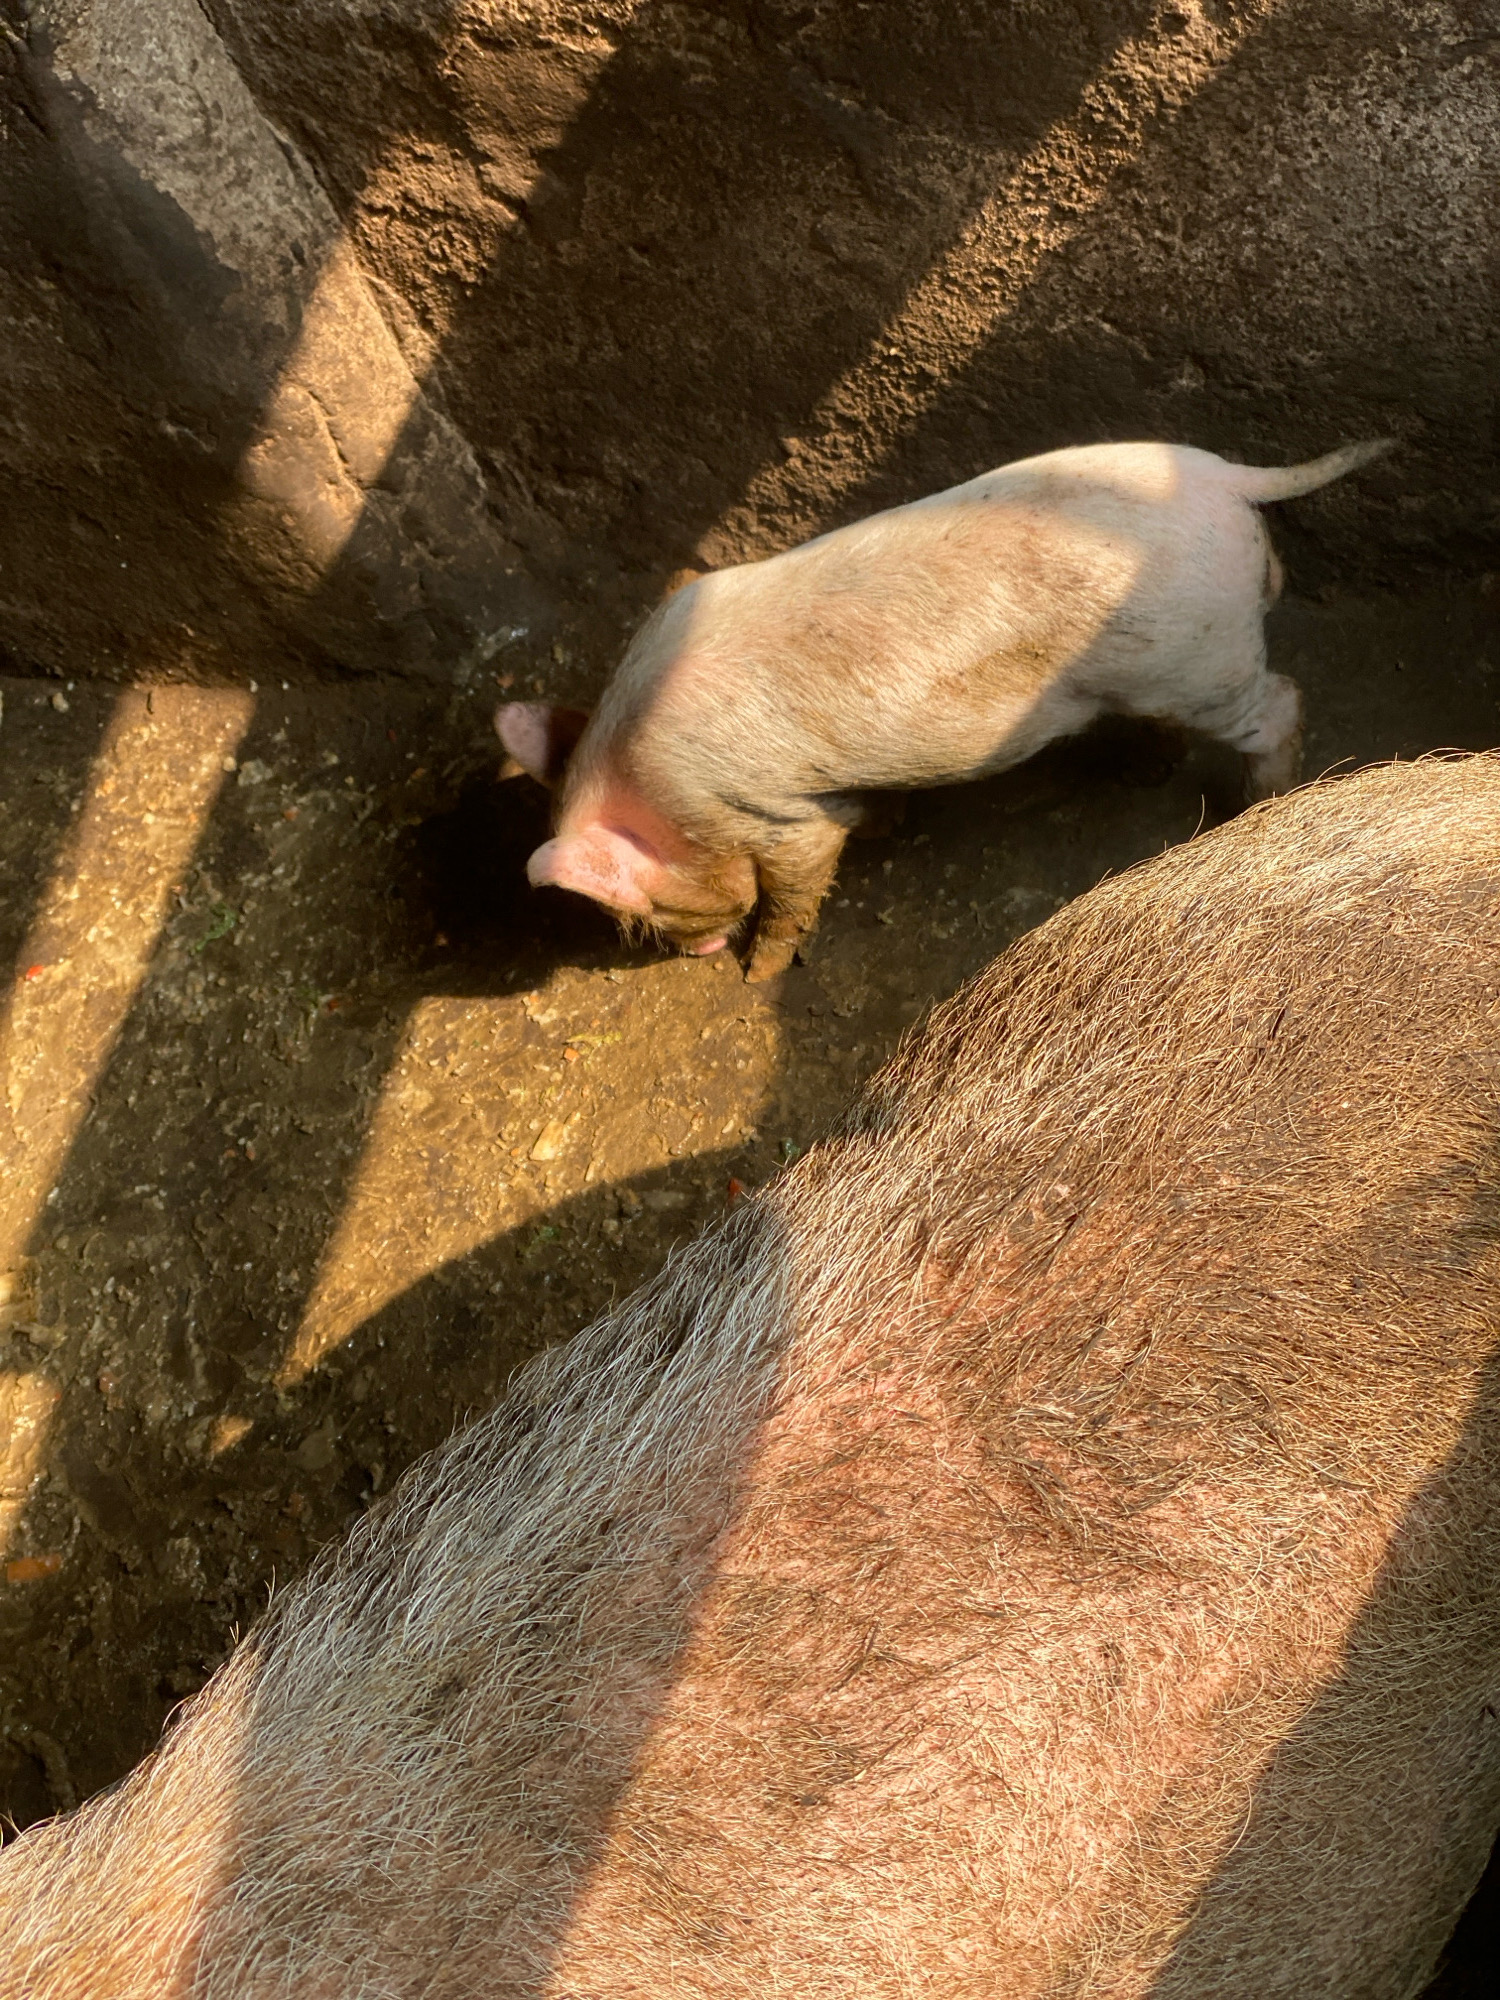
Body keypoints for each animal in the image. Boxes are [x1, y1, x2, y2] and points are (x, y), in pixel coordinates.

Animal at [499, 437, 1391, 979]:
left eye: (645, 907)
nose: (694, 953)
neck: (651, 780)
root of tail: (1224, 476)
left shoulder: (776, 815)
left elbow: (797, 883)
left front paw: (759, 970)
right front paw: (884, 825)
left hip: (1197, 655)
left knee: (1280, 702)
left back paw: (1257, 803)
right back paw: (1149, 768)